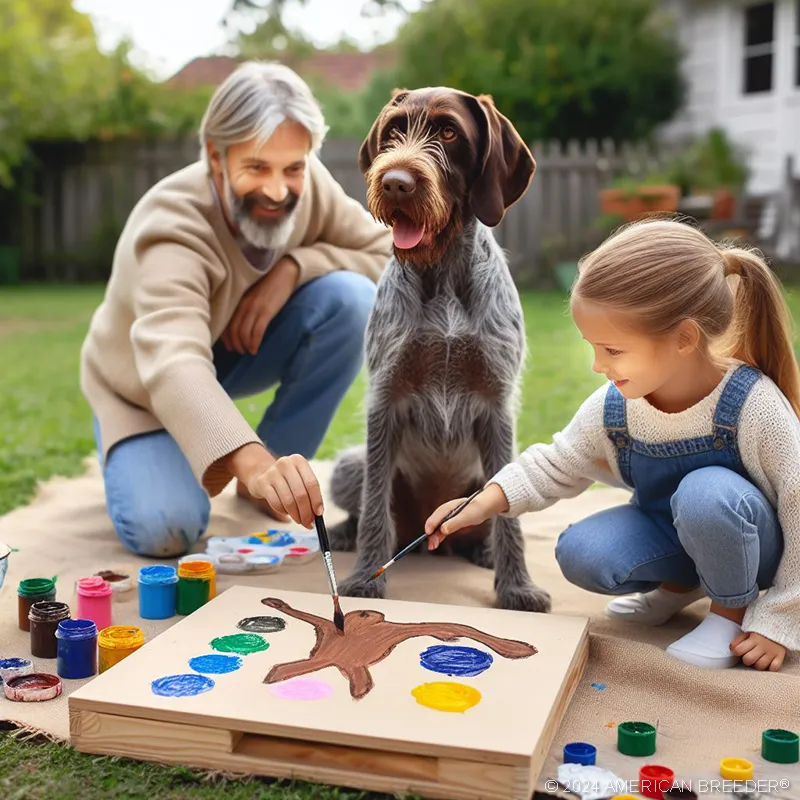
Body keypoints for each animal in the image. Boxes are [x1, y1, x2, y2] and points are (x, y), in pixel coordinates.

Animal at [328, 87, 552, 612]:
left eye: (449, 132)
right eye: (393, 132)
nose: (394, 184)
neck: (443, 271)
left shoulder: (496, 404)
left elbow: (508, 515)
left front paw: (516, 586)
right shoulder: (385, 399)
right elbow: (374, 504)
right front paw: (366, 578)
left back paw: (482, 550)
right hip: (348, 467)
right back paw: (346, 535)